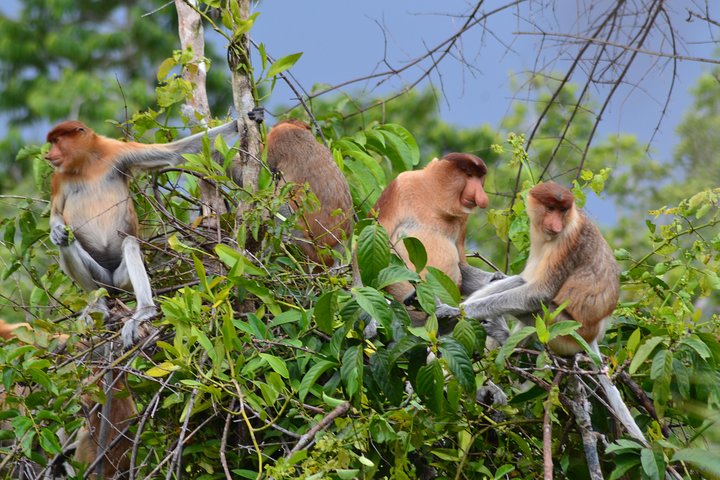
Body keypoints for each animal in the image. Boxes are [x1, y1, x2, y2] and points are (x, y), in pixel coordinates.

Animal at [46, 120, 237, 349]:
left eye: (57, 141)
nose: (49, 155)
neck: (86, 165)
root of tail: (113, 286)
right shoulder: (59, 178)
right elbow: (56, 213)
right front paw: (55, 232)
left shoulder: (117, 151)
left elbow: (173, 152)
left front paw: (245, 120)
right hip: (102, 280)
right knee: (67, 243)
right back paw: (99, 306)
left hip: (122, 280)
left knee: (129, 243)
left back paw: (144, 311)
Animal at [373, 152, 503, 307]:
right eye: (469, 175)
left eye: (479, 177)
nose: (482, 198)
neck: (435, 200)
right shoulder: (400, 186)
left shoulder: (463, 217)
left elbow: (461, 265)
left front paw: (497, 278)